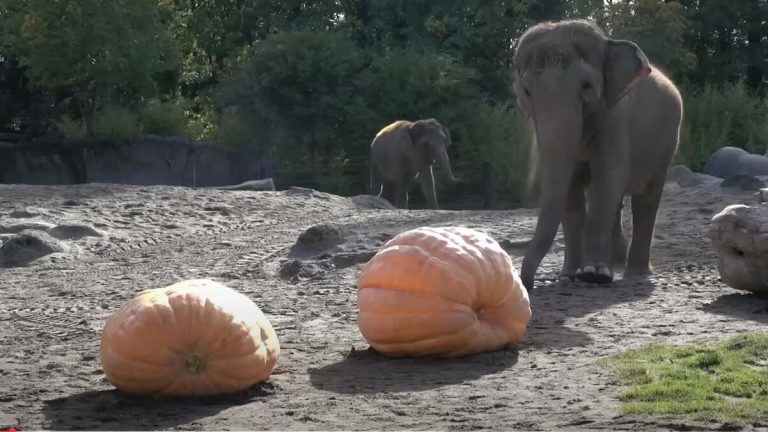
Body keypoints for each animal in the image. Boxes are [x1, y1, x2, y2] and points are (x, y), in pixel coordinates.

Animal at [513, 20, 683, 291]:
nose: (527, 284)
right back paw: (616, 262)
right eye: (527, 91)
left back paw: (635, 272)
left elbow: (608, 177)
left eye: (586, 86)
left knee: (645, 198)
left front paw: (593, 274)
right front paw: (568, 276)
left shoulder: (616, 117)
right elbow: (572, 190)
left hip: (665, 145)